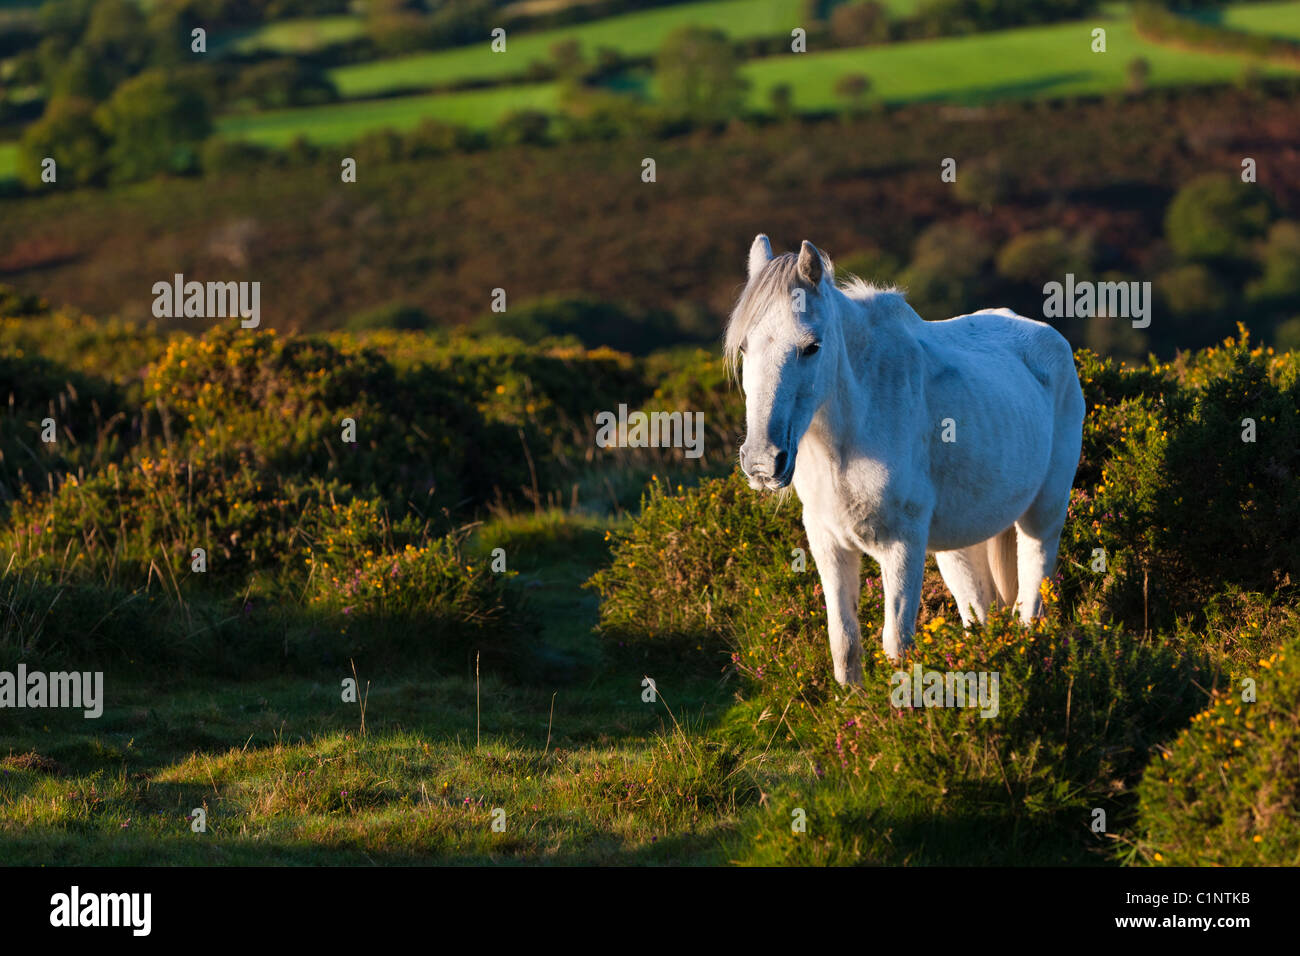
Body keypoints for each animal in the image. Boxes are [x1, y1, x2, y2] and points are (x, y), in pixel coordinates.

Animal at [727, 235, 1085, 685]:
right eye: (744, 347)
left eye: (812, 347)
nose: (762, 463)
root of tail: (1050, 338)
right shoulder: (829, 544)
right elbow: (844, 644)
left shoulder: (902, 546)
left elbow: (897, 645)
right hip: (961, 543)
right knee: (981, 612)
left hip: (1043, 515)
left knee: (1031, 600)